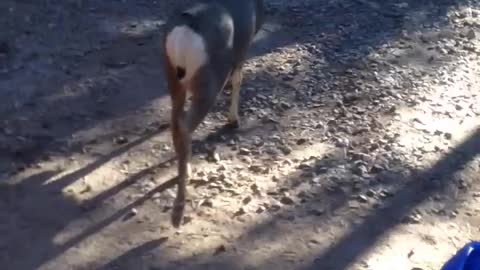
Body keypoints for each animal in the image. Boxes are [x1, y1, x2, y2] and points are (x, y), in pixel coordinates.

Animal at [163, 0, 264, 227]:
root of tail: (186, 32)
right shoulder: (242, 50)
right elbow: (238, 80)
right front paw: (233, 120)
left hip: (173, 77)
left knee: (175, 120)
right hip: (209, 82)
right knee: (184, 125)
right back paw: (178, 209)